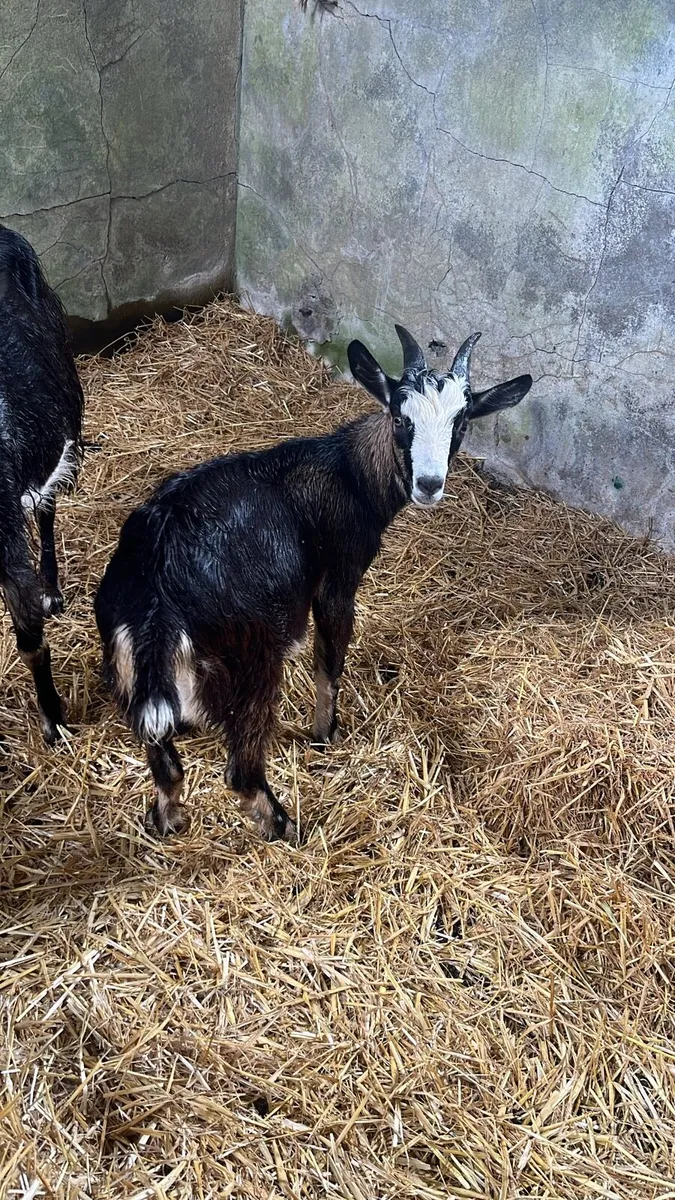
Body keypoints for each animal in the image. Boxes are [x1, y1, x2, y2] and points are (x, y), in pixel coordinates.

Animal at [94, 326, 532, 843]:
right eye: (400, 417)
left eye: (460, 422)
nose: (428, 484)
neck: (350, 473)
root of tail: (158, 594)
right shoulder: (337, 580)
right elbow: (330, 661)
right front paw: (325, 735)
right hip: (252, 661)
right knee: (241, 771)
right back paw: (289, 830)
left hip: (135, 676)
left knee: (166, 768)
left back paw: (169, 822)